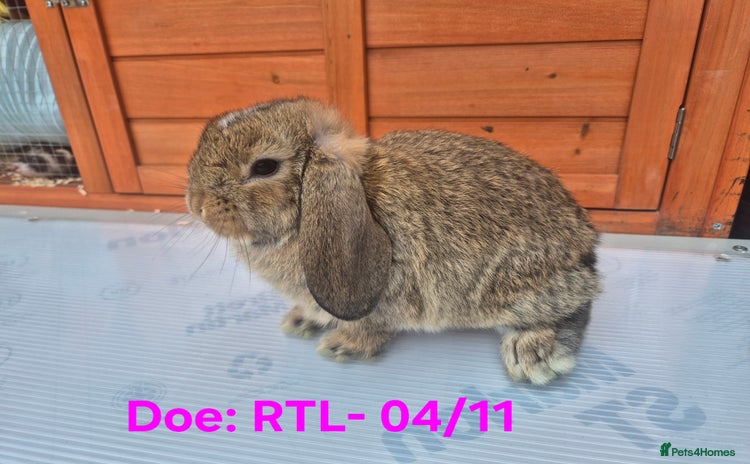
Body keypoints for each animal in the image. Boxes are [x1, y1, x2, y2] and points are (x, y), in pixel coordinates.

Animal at [186, 97, 601, 385]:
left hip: (512, 286)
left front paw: (341, 346)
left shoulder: (383, 297)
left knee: (574, 307)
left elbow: (372, 327)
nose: (197, 204)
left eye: (264, 166)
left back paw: (532, 354)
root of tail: (585, 246)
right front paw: (300, 320)